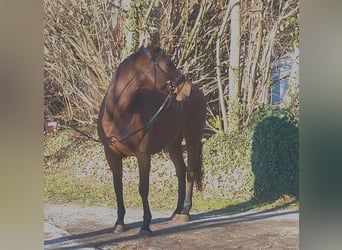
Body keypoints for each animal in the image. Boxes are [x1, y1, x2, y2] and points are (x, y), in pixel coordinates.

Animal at [96, 36, 206, 235]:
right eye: (169, 63)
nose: (186, 89)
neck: (119, 113)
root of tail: (199, 91)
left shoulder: (143, 154)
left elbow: (143, 188)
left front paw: (146, 225)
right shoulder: (112, 155)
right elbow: (118, 187)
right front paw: (119, 223)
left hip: (193, 136)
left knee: (191, 171)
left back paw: (185, 212)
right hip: (173, 143)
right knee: (181, 170)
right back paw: (176, 210)